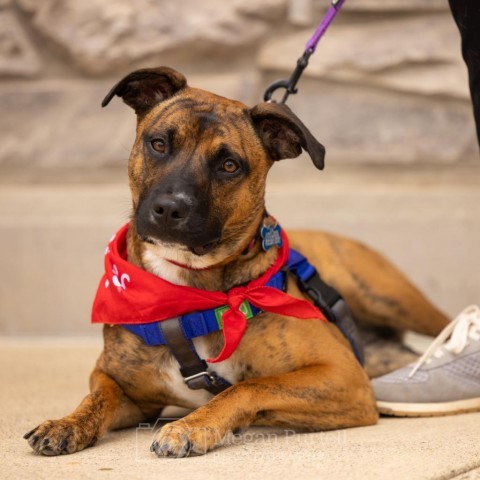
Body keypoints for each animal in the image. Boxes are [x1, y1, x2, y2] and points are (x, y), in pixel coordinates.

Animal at [22, 66, 450, 458]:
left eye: (229, 165)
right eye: (158, 144)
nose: (170, 208)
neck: (189, 289)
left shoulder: (343, 376)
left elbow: (249, 386)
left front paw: (192, 426)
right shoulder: (121, 382)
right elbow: (98, 397)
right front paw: (66, 423)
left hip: (386, 296)